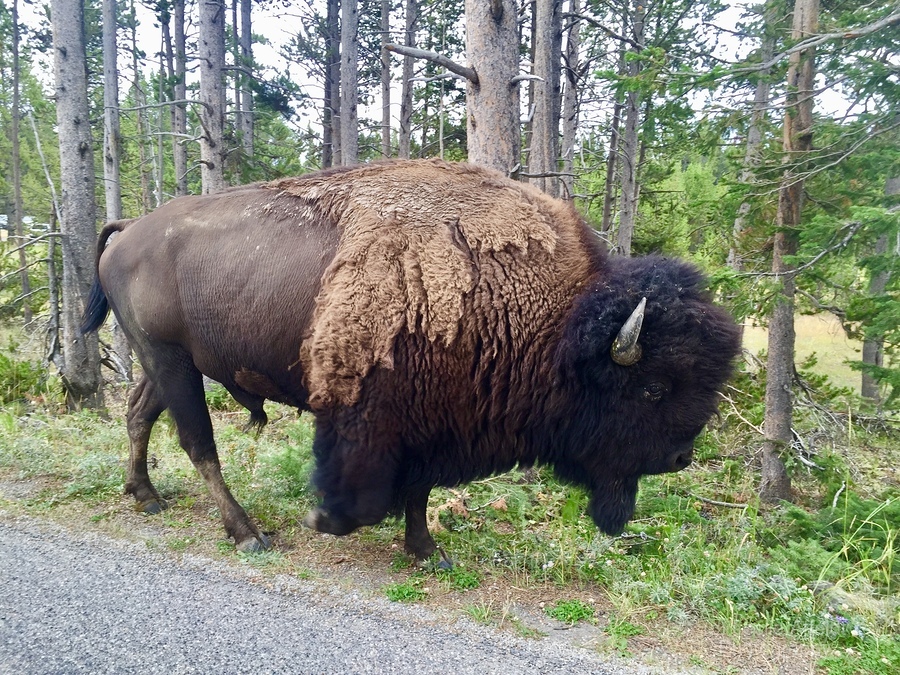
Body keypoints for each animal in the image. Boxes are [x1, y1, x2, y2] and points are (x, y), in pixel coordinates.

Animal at [81, 159, 741, 558]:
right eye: (653, 388)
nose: (680, 458)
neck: (556, 324)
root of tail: (130, 228)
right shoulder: (382, 415)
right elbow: (377, 485)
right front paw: (332, 522)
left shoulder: (435, 420)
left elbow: (421, 488)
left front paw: (427, 550)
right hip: (172, 362)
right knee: (198, 443)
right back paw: (247, 534)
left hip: (165, 363)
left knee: (139, 413)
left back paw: (144, 494)